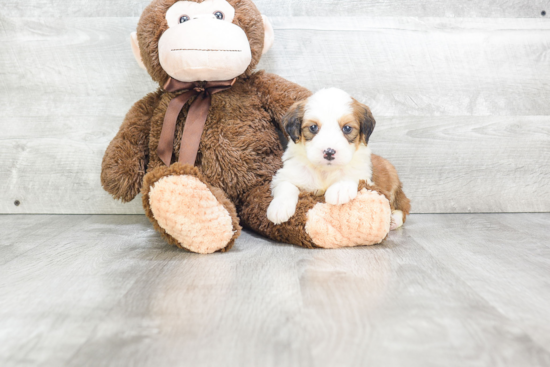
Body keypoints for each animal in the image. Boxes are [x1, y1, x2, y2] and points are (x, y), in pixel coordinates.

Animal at [268, 87, 410, 229]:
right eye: (313, 127)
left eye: (347, 128)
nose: (329, 152)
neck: (324, 171)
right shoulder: (288, 174)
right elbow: (286, 185)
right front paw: (279, 207)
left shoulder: (365, 177)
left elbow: (352, 174)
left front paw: (340, 188)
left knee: (403, 207)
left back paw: (394, 220)